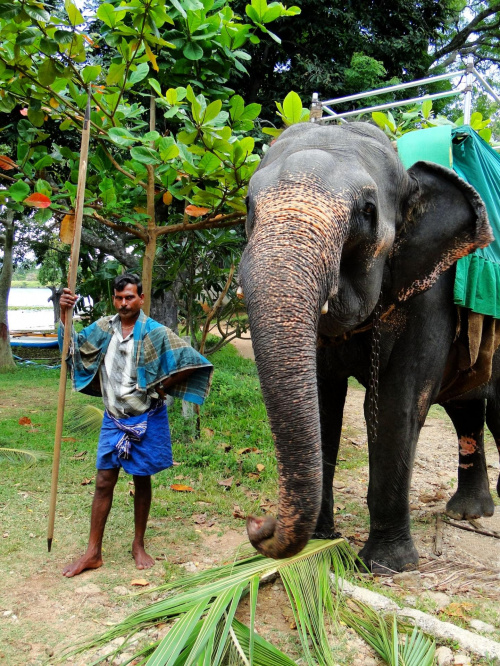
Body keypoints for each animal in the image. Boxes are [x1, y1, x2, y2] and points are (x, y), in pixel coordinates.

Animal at [239, 120, 496, 572]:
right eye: (250, 203)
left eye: (367, 211)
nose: (257, 523)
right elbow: (324, 402)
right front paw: (320, 542)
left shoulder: (431, 290)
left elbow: (397, 405)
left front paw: (387, 565)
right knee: (467, 406)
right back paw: (468, 513)